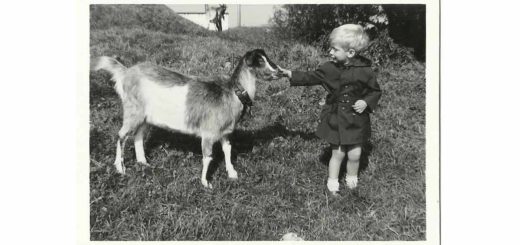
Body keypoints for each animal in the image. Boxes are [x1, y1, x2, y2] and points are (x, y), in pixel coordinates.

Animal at [93, 49, 280, 188]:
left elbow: (227, 149)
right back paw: (121, 168)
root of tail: (126, 72)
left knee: (138, 135)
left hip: (145, 117)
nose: (278, 71)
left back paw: (143, 163)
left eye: (267, 58)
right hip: (133, 110)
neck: (233, 92)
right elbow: (208, 156)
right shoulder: (209, 133)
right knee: (121, 135)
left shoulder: (225, 132)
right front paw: (205, 183)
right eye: (260, 61)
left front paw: (232, 173)